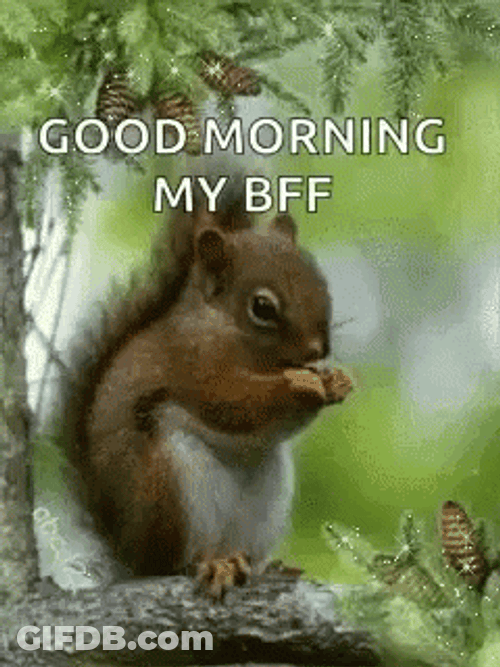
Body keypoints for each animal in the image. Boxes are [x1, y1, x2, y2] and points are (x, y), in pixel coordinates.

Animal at [61, 170, 352, 599]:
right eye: (262, 307)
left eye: (322, 284)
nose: (319, 349)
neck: (225, 328)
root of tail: (134, 558)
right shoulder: (192, 362)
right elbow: (230, 401)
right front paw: (299, 384)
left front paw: (336, 380)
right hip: (173, 486)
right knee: (178, 562)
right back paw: (210, 564)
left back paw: (263, 566)